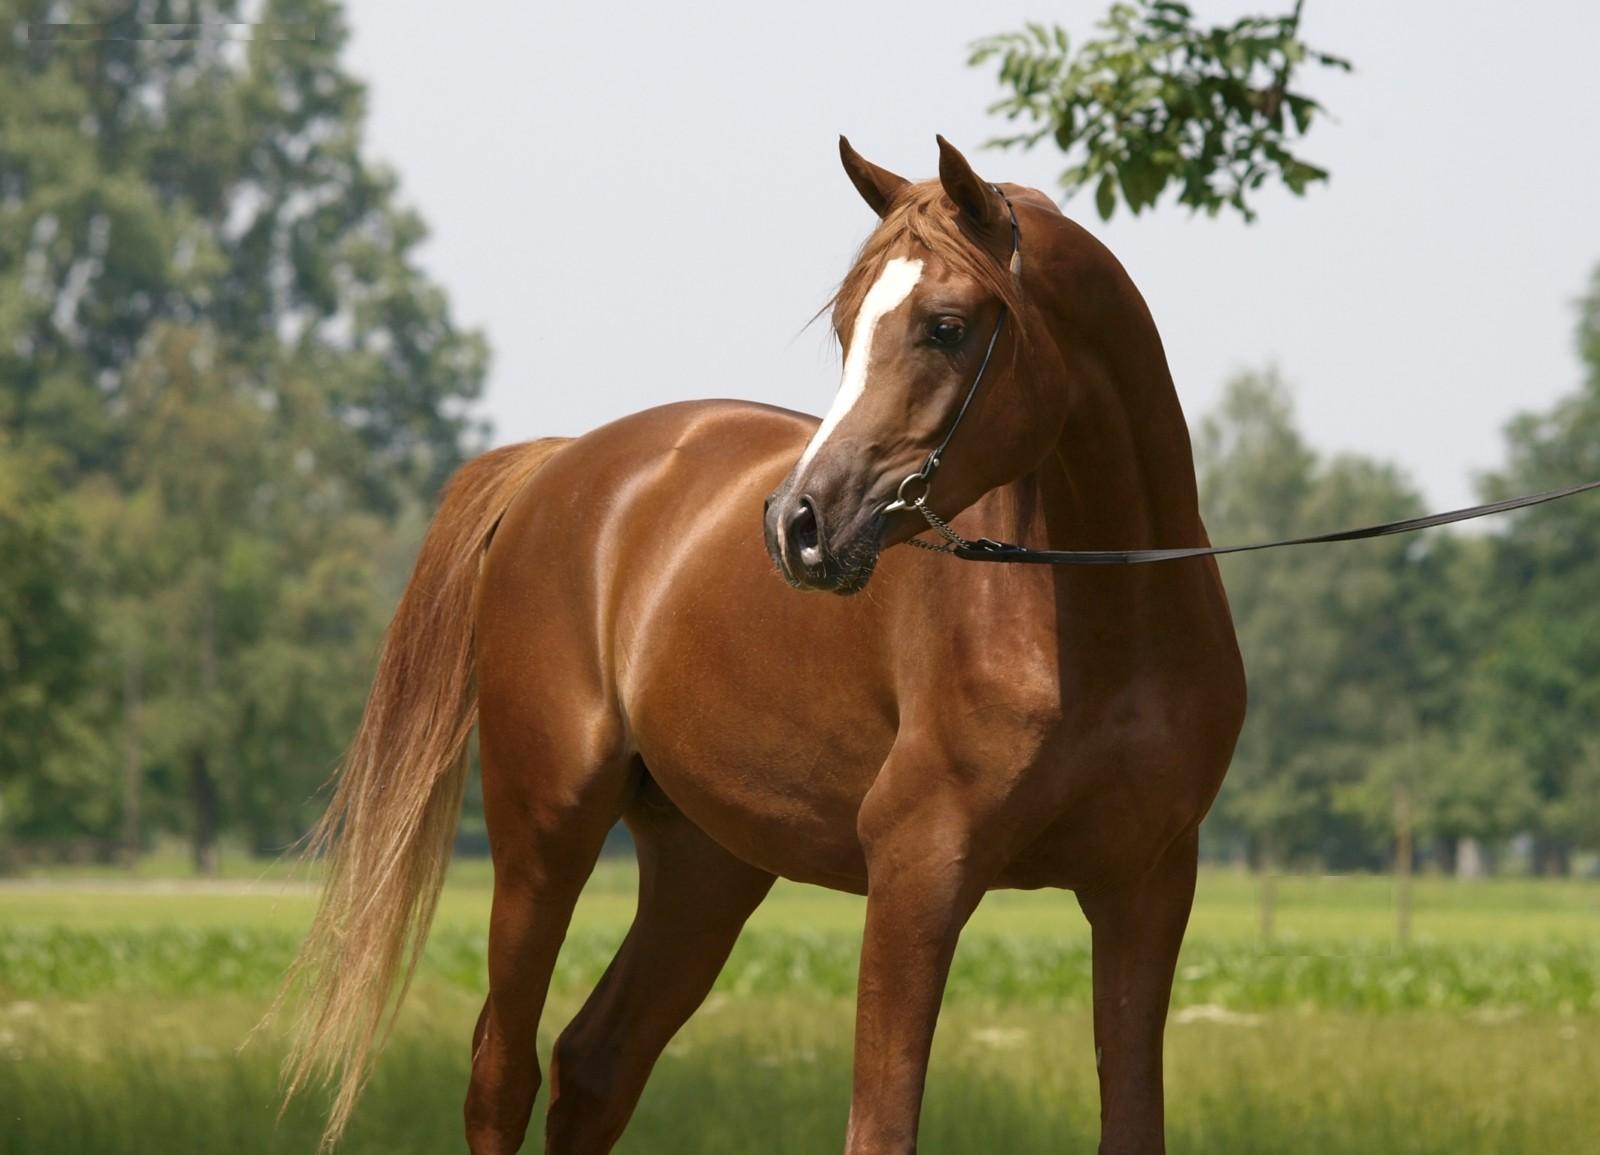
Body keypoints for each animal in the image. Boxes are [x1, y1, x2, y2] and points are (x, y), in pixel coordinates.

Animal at [276, 135, 1247, 1155]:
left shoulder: (1146, 890)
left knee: (593, 1063)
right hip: (542, 834)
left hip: (706, 867)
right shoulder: (918, 874)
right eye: (849, 324)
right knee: (501, 1074)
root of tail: (558, 463)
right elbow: (880, 1126)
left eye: (945, 326)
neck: (1103, 622)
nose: (797, 524)